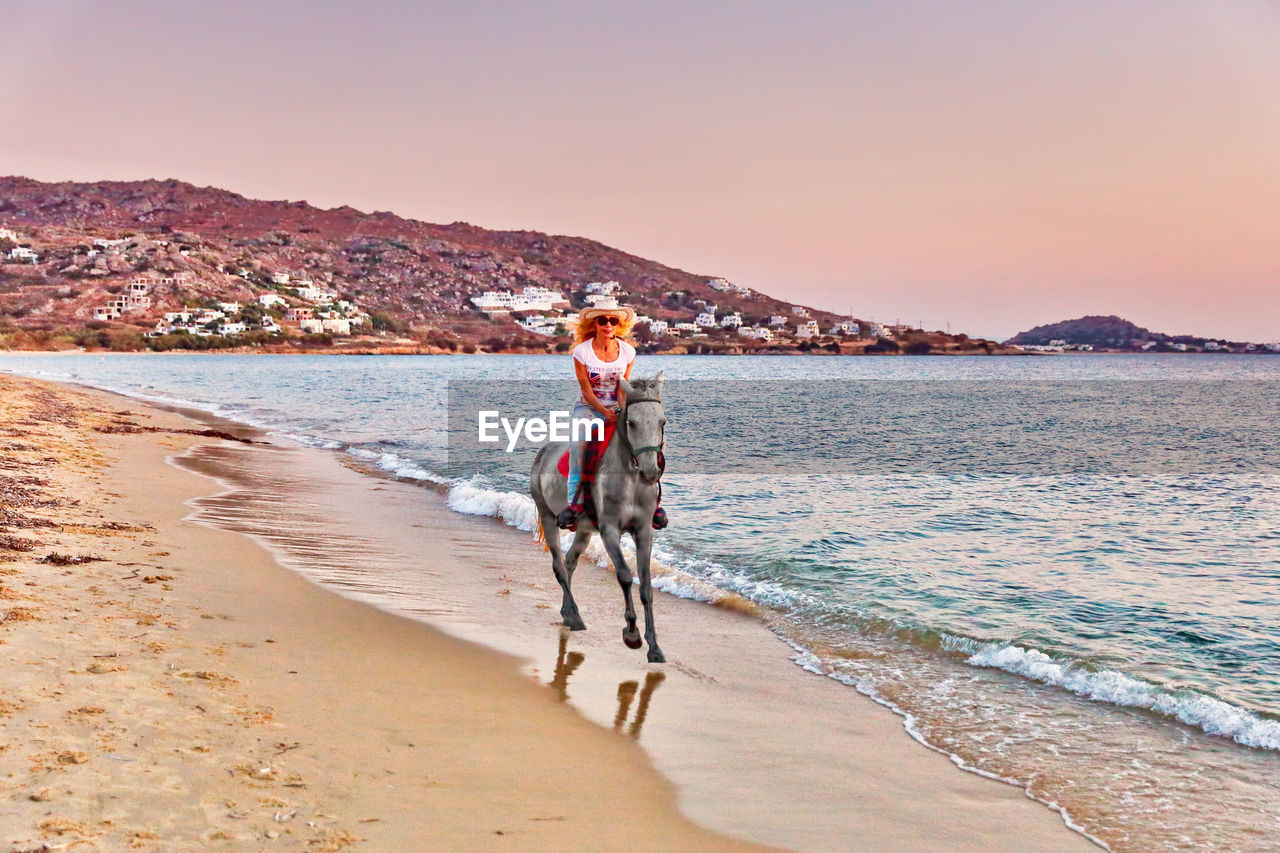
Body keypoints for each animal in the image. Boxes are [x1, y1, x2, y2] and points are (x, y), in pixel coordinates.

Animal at [529, 368, 670, 660]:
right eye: (632, 423)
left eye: (661, 422)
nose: (651, 472)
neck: (631, 478)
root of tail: (543, 453)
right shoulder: (609, 531)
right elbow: (625, 576)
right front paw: (631, 633)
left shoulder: (643, 532)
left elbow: (646, 587)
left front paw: (654, 646)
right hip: (548, 516)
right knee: (559, 566)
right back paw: (575, 617)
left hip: (583, 530)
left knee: (570, 562)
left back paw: (567, 613)